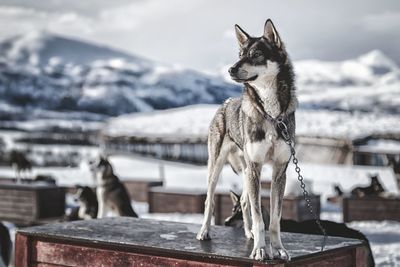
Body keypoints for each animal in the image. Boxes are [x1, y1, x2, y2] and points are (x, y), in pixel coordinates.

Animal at [197, 19, 296, 262]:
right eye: (240, 54)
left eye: (256, 54)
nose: (230, 69)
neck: (271, 115)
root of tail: (224, 104)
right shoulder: (255, 166)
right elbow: (261, 219)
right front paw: (260, 250)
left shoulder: (279, 171)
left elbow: (274, 220)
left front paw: (278, 249)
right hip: (218, 166)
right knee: (209, 200)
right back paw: (204, 231)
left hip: (246, 170)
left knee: (243, 201)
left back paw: (248, 232)